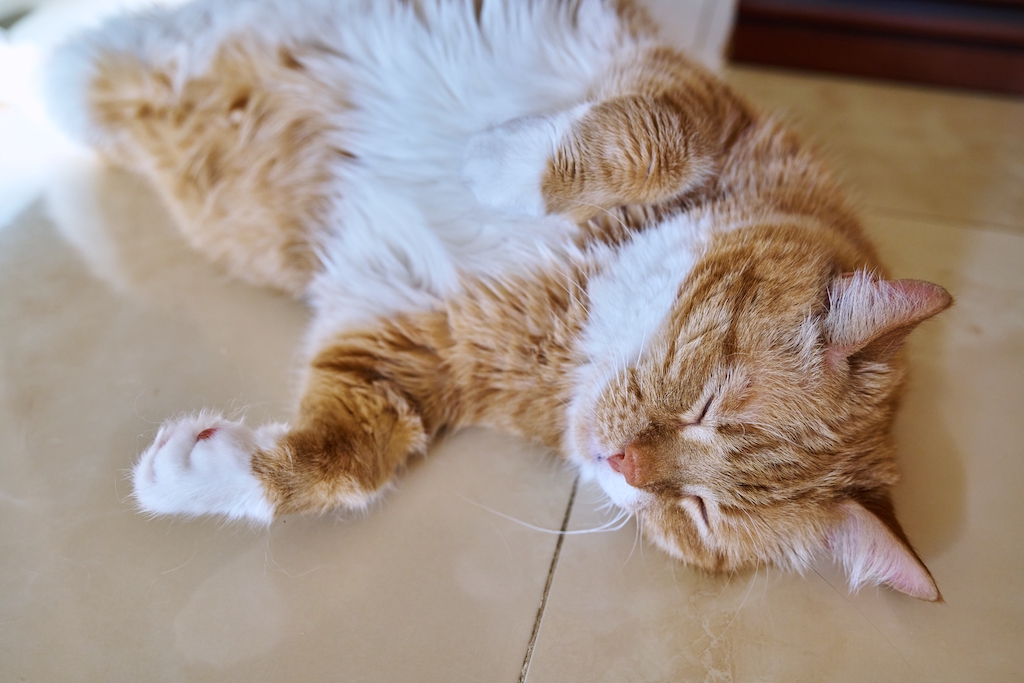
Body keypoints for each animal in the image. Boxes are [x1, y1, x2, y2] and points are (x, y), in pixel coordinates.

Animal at [49, 0, 950, 598]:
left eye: (698, 513)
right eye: (709, 401)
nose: (621, 464)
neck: (579, 292)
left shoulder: (404, 341)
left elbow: (345, 461)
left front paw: (192, 474)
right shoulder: (688, 92)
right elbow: (652, 140)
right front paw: (490, 162)